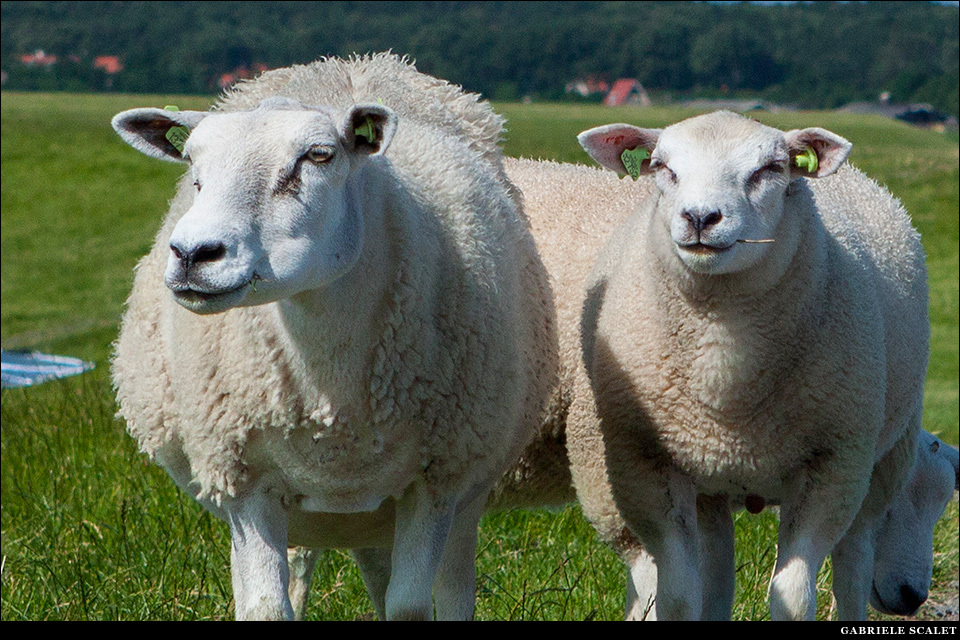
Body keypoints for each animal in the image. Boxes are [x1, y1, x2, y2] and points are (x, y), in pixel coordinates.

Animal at [110, 54, 557, 621]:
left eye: (318, 155)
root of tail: (356, 63)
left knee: (449, 590)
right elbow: (266, 607)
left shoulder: (434, 481)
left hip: (457, 493)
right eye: (191, 163)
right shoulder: (244, 481)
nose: (194, 254)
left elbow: (410, 607)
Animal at [570, 110, 930, 620]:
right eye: (662, 167)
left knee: (854, 562)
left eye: (769, 169)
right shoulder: (643, 464)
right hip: (709, 481)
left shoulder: (832, 465)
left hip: (881, 460)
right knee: (717, 575)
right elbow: (679, 596)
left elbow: (793, 597)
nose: (700, 218)